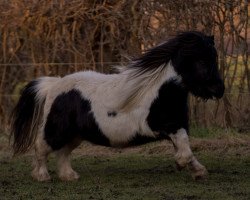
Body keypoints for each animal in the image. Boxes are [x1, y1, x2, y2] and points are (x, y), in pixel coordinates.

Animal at [9, 30, 225, 181]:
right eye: (201, 61)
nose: (219, 90)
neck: (159, 92)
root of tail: (53, 84)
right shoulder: (163, 127)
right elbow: (185, 152)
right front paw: (182, 165)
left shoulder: (178, 127)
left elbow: (187, 149)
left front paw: (198, 172)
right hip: (57, 131)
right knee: (41, 147)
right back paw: (42, 176)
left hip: (75, 134)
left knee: (63, 153)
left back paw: (69, 176)